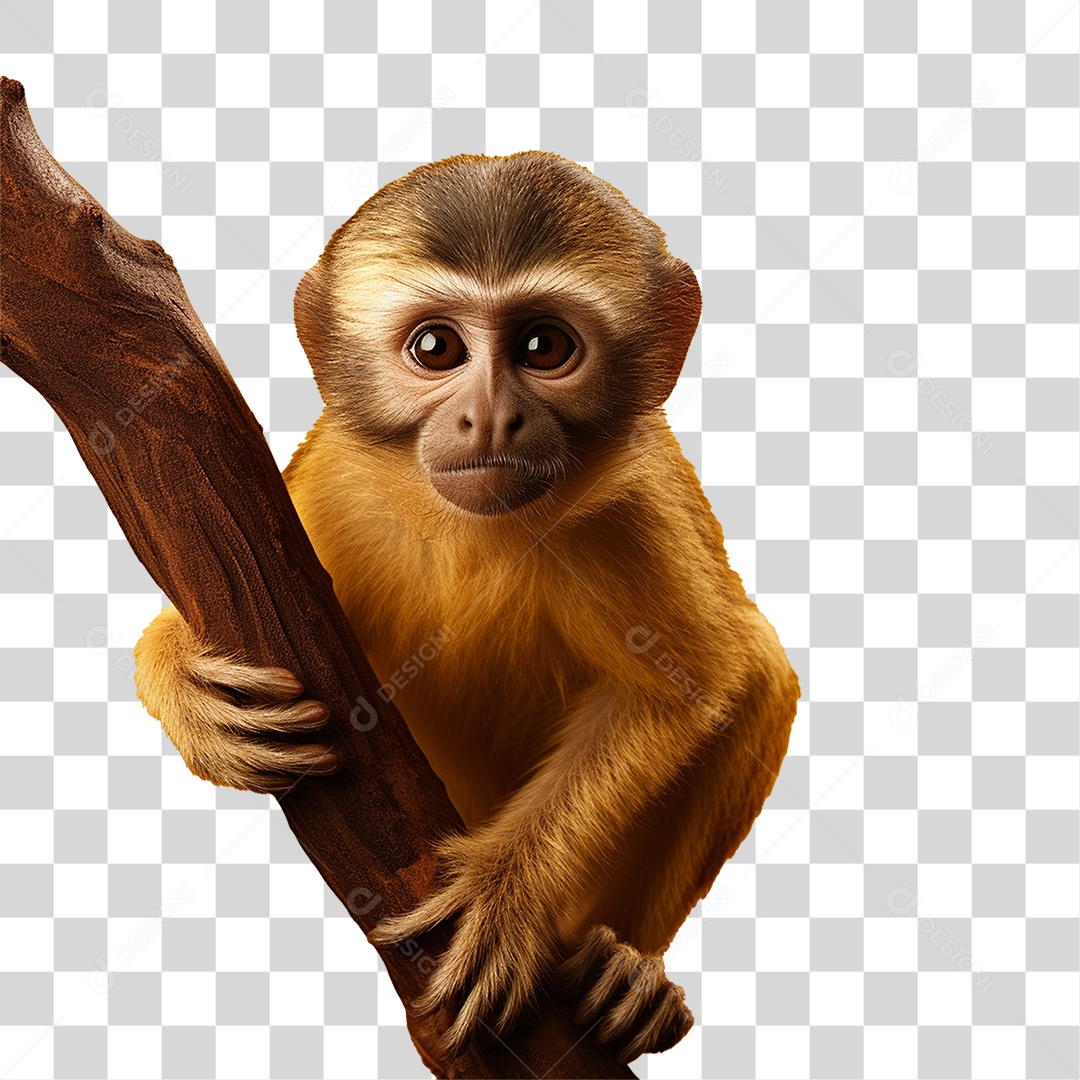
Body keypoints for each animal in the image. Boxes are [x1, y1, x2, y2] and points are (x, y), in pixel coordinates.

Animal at [133, 151, 800, 1064]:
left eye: (544, 347)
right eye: (436, 347)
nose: (491, 415)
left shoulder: (638, 506)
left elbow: (685, 689)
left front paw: (505, 891)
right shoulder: (331, 480)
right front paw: (182, 681)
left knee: (760, 672)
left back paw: (631, 969)